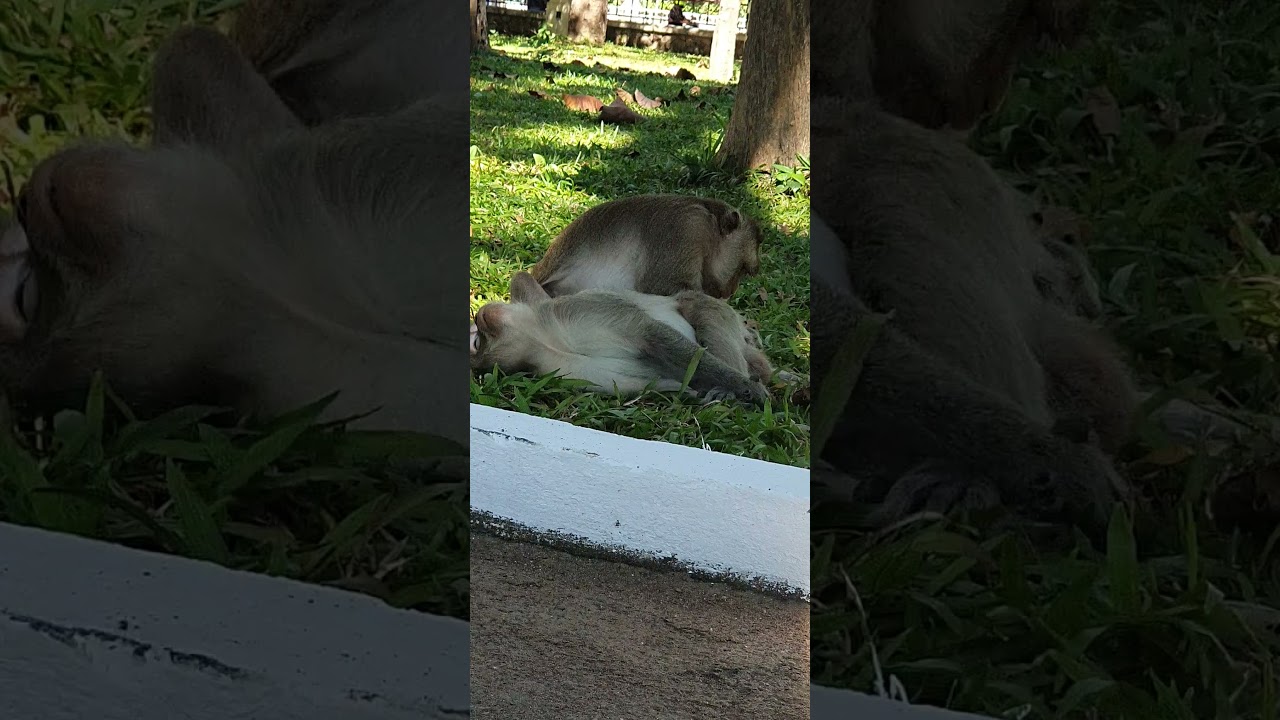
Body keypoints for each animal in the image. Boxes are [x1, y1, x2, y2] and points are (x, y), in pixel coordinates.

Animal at [470, 271, 769, 405]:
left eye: (476, 341)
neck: (546, 339)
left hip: (711, 306)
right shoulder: (562, 369)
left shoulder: (577, 311)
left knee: (704, 316)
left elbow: (649, 332)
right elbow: (641, 385)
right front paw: (688, 390)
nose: (480, 318)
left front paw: (744, 387)